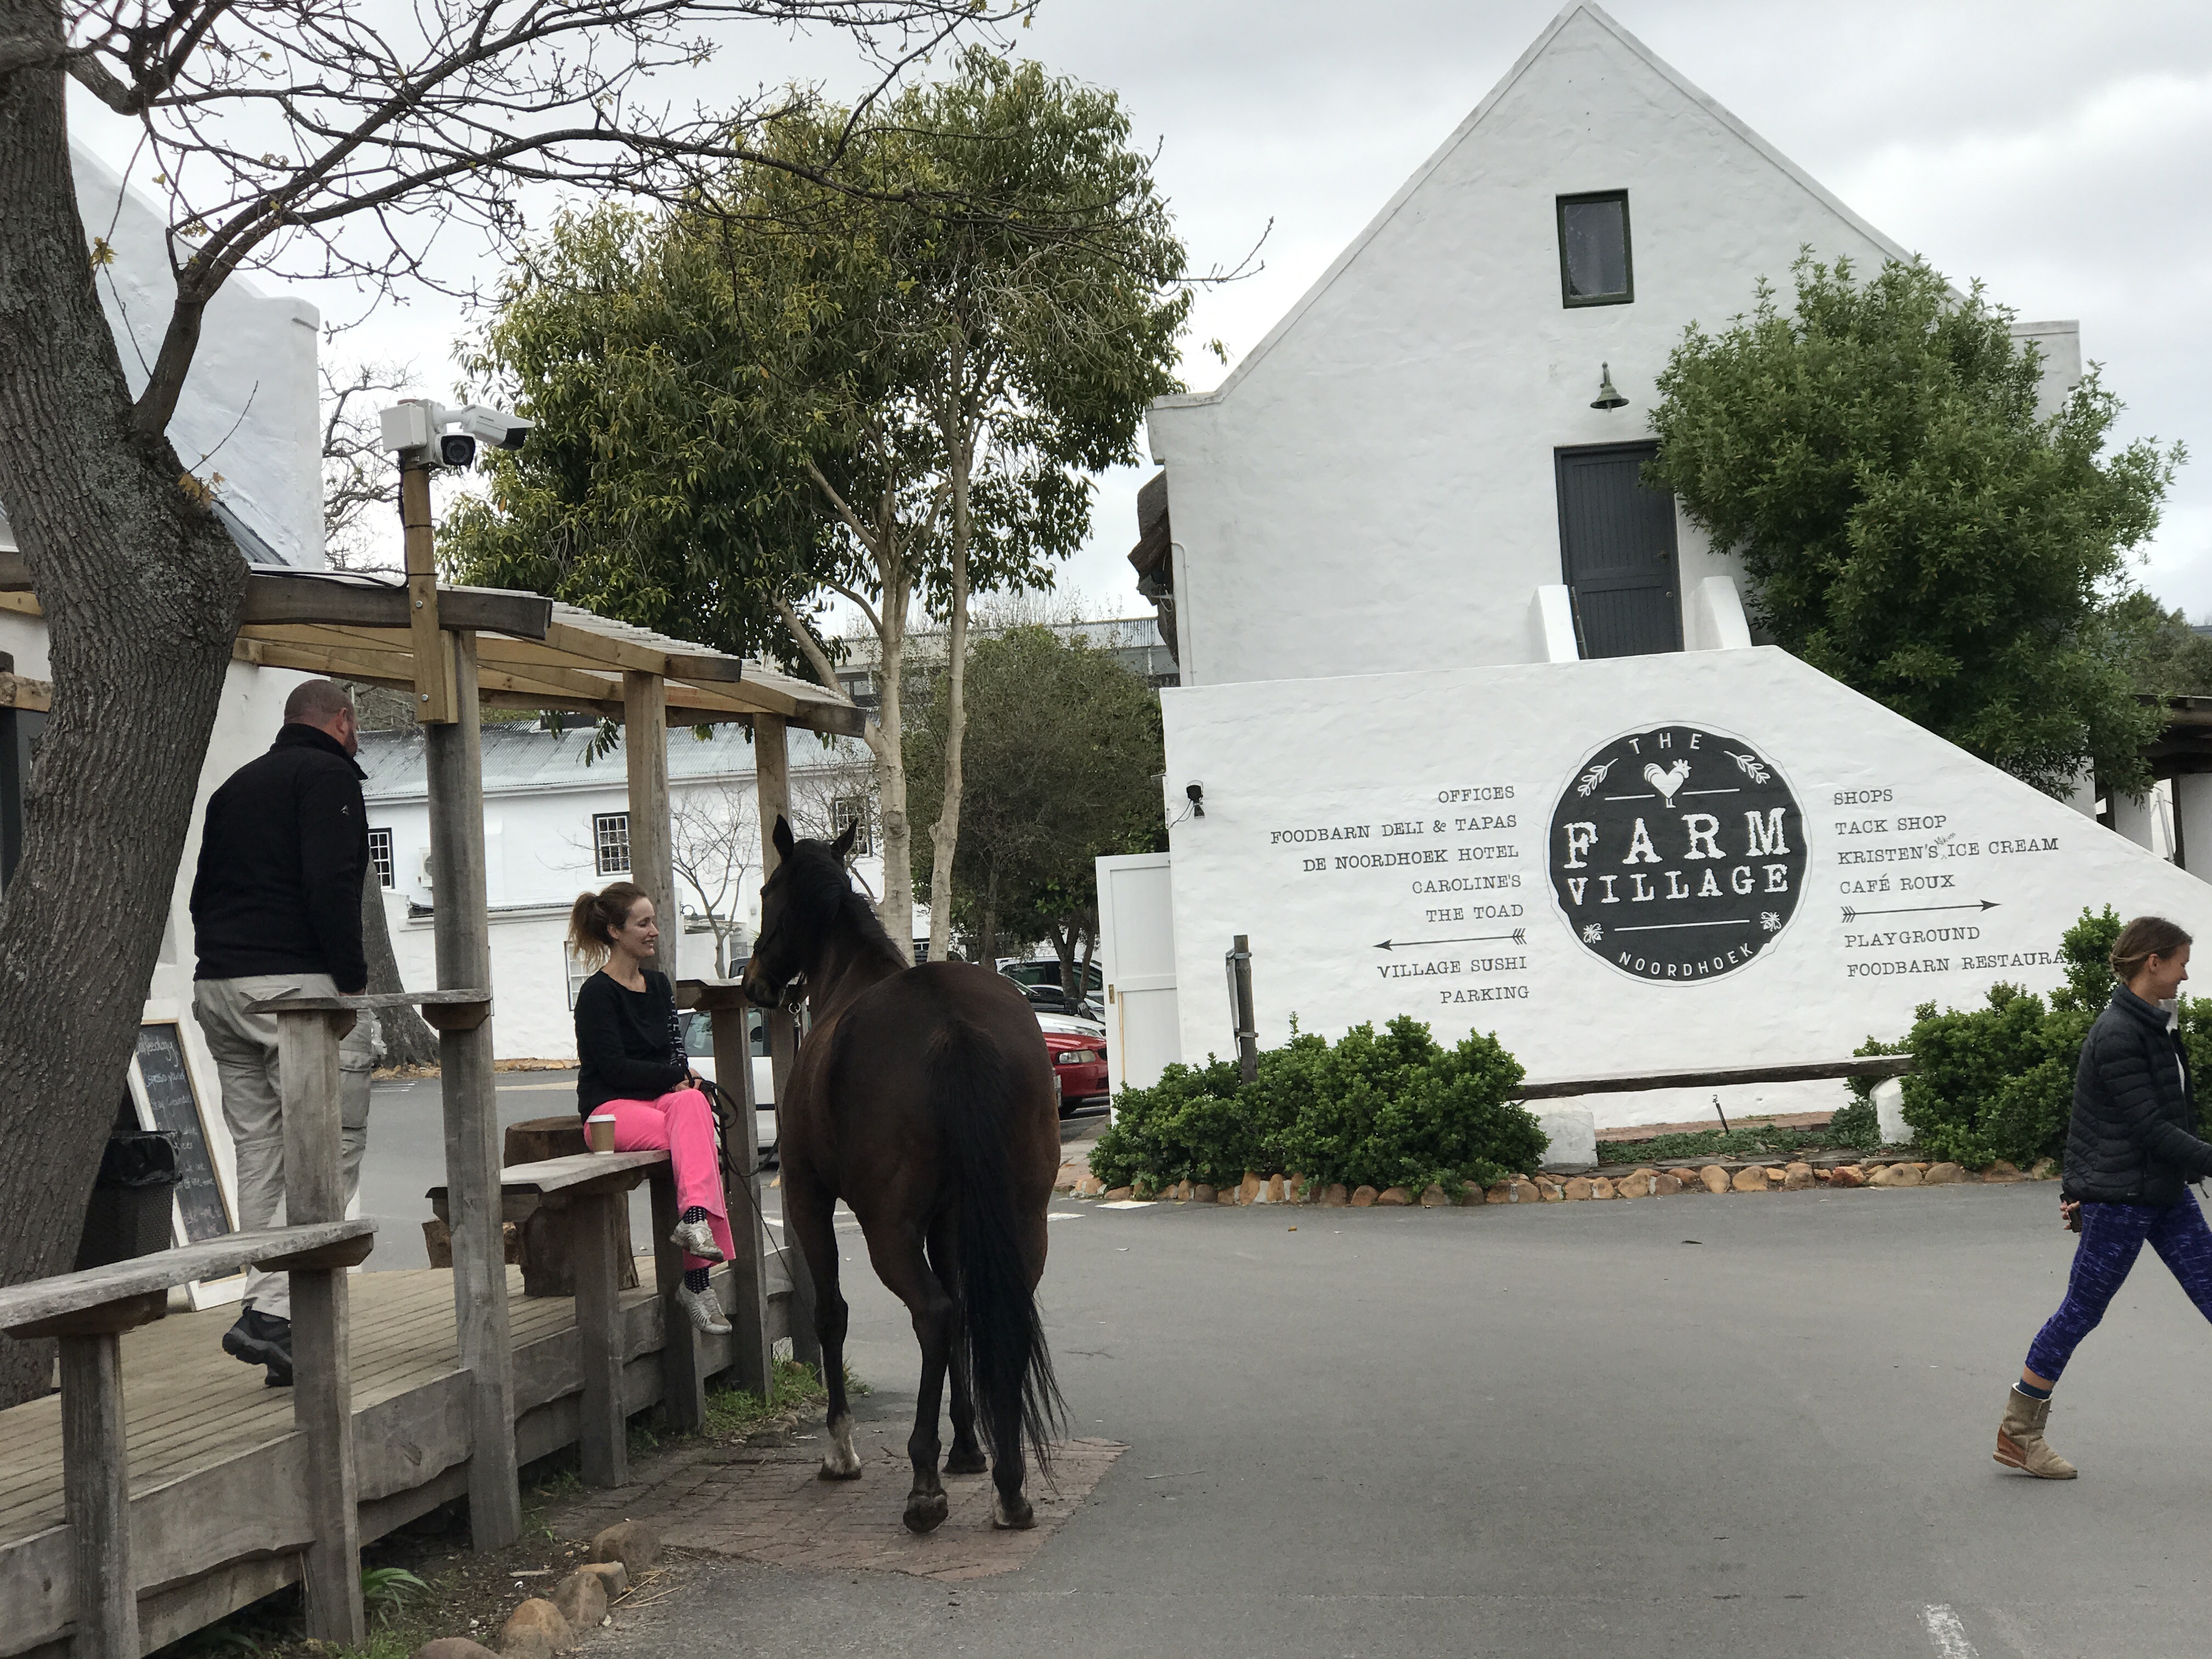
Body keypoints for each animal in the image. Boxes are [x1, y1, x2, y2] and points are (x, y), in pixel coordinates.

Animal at [739, 815, 1065, 1533]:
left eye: (766, 895)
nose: (754, 983)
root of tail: (954, 1025)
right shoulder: (948, 1220)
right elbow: (970, 1308)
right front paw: (968, 1446)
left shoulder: (807, 1197)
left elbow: (831, 1312)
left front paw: (841, 1448)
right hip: (1023, 1218)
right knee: (993, 1313)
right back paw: (1008, 1483)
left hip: (886, 1228)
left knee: (933, 1314)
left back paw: (924, 1483)